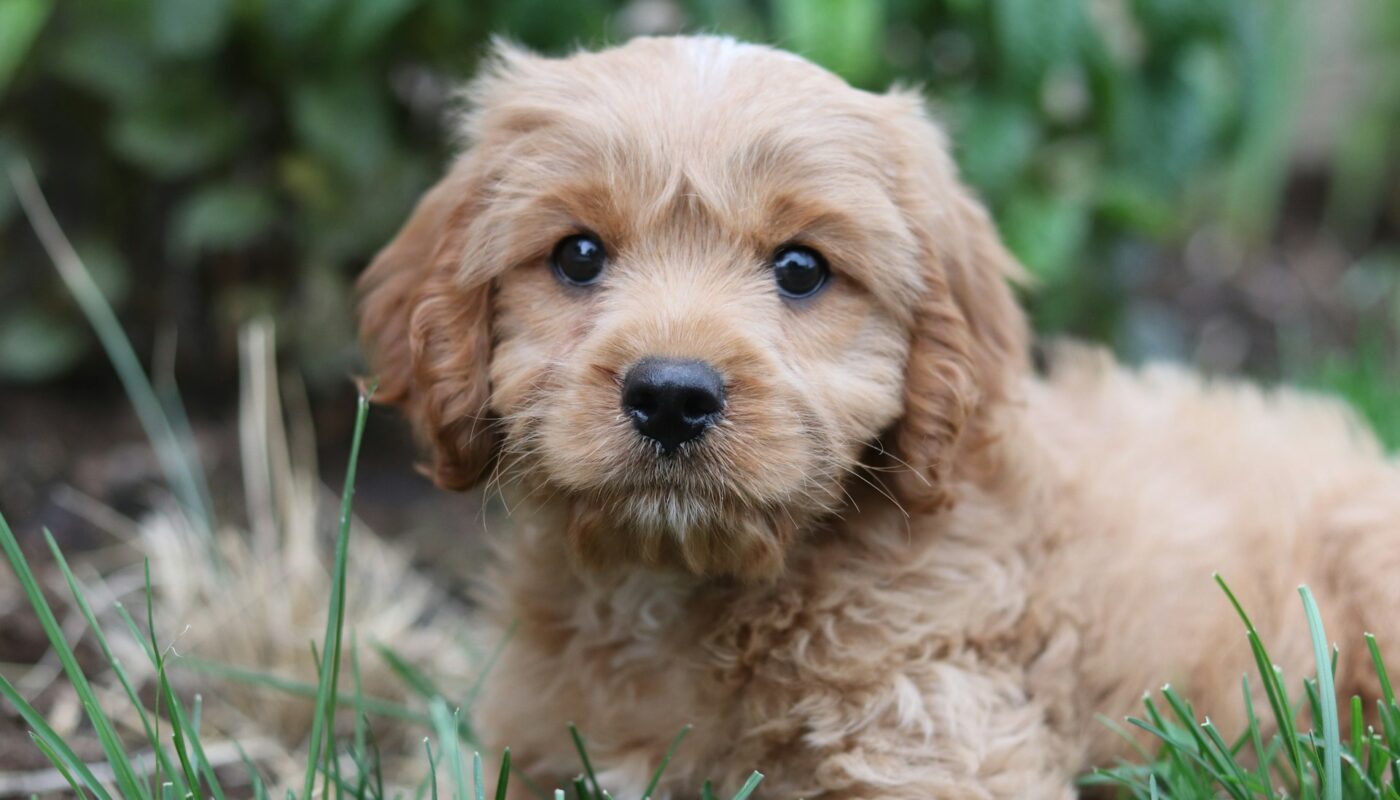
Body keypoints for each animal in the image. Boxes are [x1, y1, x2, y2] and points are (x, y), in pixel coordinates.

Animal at [352, 34, 1400, 795]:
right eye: (576, 255)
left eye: (802, 268)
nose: (672, 396)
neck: (687, 588)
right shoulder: (527, 748)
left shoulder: (938, 735)